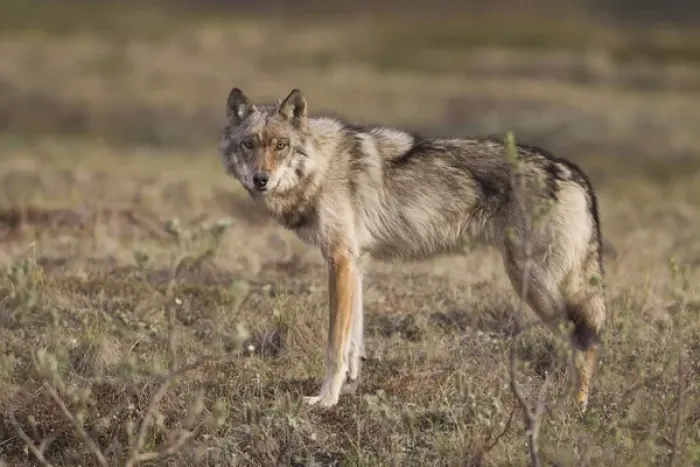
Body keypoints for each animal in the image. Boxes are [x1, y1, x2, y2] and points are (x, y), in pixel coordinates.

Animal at [218, 87, 606, 412]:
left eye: (280, 145)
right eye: (249, 144)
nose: (261, 180)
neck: (320, 169)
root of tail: (573, 172)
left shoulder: (340, 261)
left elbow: (334, 345)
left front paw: (326, 399)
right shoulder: (355, 264)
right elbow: (354, 341)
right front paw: (352, 387)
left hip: (535, 285)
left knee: (584, 341)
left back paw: (574, 406)